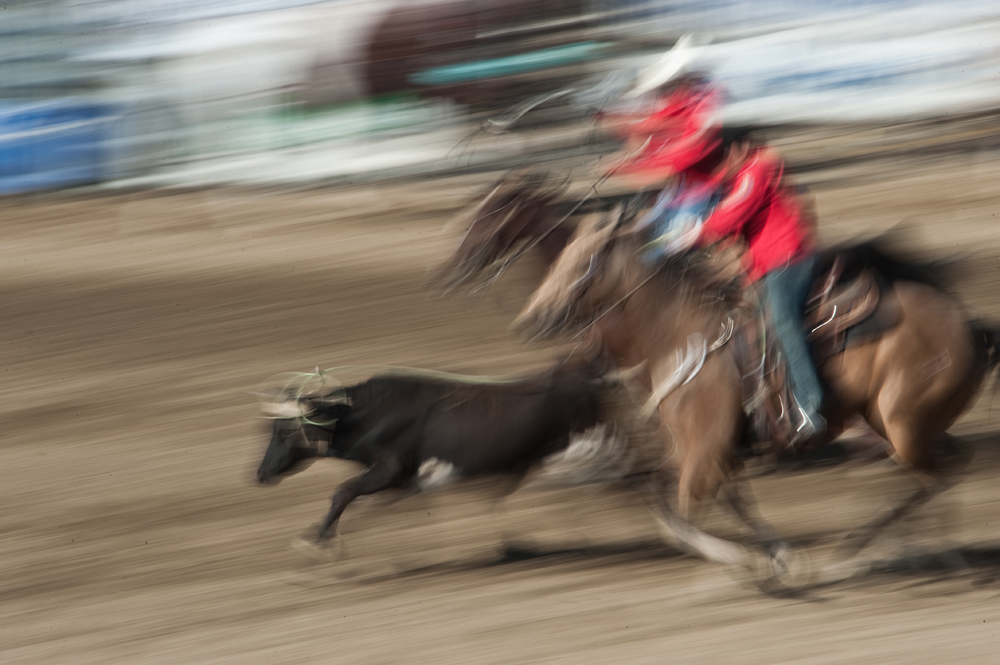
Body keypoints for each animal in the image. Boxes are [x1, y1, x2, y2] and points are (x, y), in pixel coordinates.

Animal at [512, 208, 996, 580]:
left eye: (584, 260)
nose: (532, 318)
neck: (679, 334)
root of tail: (972, 328)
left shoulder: (704, 454)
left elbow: (683, 519)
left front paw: (747, 566)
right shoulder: (706, 451)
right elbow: (682, 503)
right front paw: (778, 557)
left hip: (903, 426)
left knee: (943, 472)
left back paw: (863, 552)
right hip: (905, 424)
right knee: (947, 468)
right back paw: (922, 550)